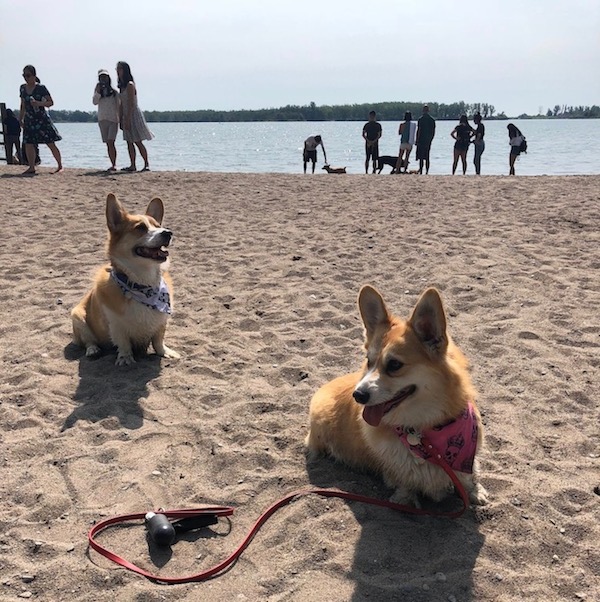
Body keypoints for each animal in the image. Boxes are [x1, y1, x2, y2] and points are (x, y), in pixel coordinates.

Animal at [72, 195, 179, 364]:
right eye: (140, 227)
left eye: (158, 226)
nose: (168, 233)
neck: (143, 284)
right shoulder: (116, 325)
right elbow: (123, 342)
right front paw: (125, 359)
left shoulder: (161, 321)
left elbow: (158, 340)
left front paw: (165, 352)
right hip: (77, 317)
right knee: (89, 340)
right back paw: (93, 350)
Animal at [304, 286, 488, 506]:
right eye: (369, 361)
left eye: (394, 365)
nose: (358, 395)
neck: (424, 429)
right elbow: (405, 483)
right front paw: (405, 500)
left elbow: (469, 475)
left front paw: (475, 492)